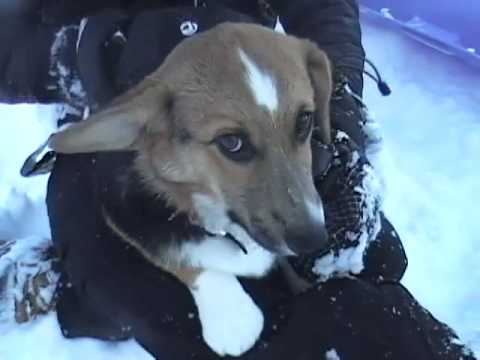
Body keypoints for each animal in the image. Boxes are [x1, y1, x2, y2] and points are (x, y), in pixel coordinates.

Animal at [48, 22, 334, 358]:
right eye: (231, 142)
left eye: (304, 121)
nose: (313, 239)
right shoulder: (125, 217)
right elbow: (178, 257)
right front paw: (232, 317)